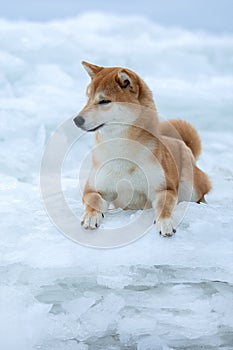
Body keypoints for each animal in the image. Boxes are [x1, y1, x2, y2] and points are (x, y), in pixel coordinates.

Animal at [73, 62, 211, 238]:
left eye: (104, 101)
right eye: (88, 98)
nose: (76, 120)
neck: (122, 151)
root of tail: (181, 142)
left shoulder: (164, 188)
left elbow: (164, 207)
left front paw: (165, 223)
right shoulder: (94, 189)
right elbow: (93, 201)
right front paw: (91, 217)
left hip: (189, 187)